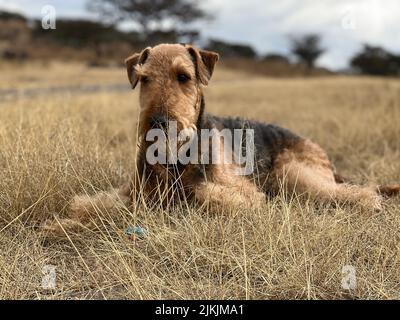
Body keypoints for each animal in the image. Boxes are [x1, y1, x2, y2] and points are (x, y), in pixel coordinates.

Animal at [44, 42, 400, 232]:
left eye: (183, 77)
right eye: (144, 79)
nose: (157, 124)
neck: (177, 159)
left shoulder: (246, 194)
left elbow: (205, 192)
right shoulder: (133, 194)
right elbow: (91, 203)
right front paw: (61, 223)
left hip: (293, 174)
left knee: (358, 190)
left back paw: (371, 203)